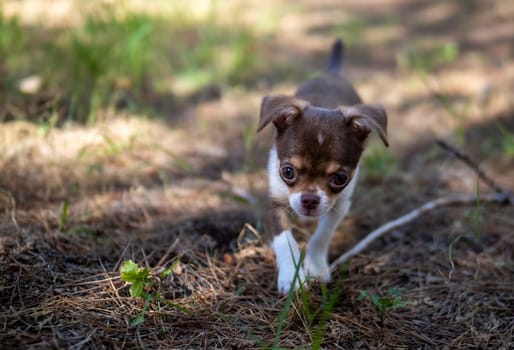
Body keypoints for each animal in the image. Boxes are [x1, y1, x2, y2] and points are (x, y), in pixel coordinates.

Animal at [258, 39, 386, 294]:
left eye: (339, 178)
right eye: (287, 171)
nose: (310, 200)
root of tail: (331, 74)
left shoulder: (339, 205)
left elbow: (321, 236)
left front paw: (315, 268)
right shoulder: (273, 204)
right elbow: (285, 240)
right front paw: (292, 276)